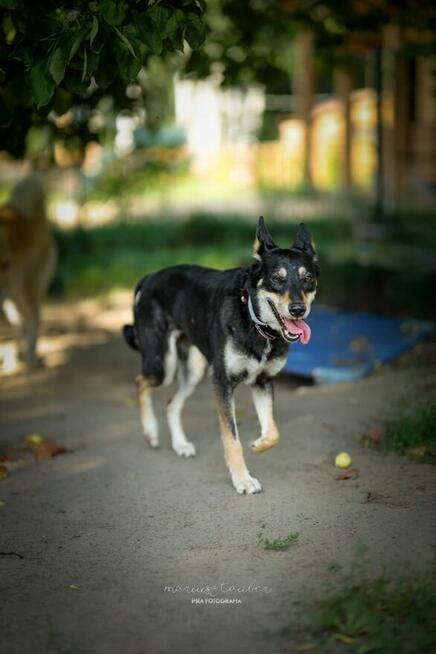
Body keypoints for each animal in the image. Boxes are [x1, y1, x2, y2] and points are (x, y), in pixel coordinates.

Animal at [0, 174, 56, 368]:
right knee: (20, 322)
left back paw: (31, 357)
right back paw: (20, 354)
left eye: (6, 263)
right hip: (12, 296)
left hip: (26, 288)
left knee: (34, 319)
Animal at [124, 218, 318, 494]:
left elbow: (273, 432)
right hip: (163, 364)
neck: (253, 321)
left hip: (193, 371)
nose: (298, 310)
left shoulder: (262, 382)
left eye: (308, 278)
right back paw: (150, 431)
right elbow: (231, 438)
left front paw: (259, 444)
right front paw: (243, 480)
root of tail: (149, 277)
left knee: (171, 402)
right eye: (276, 279)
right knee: (140, 382)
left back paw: (180, 445)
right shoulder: (222, 383)